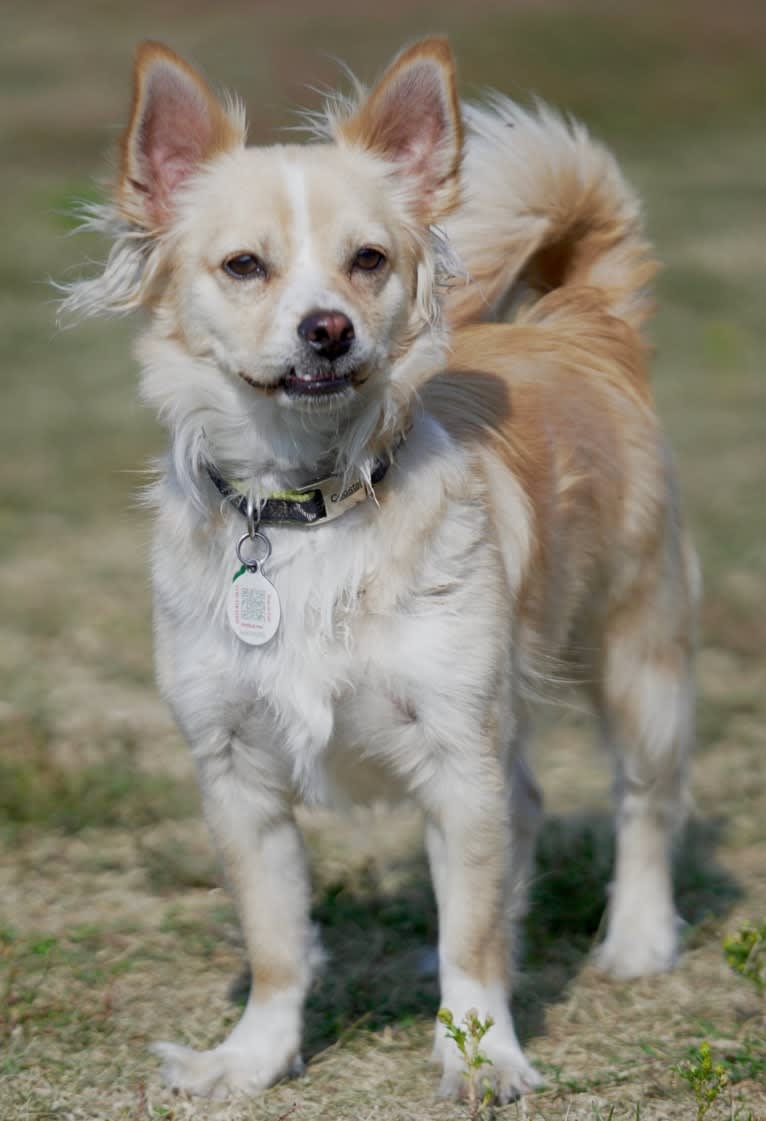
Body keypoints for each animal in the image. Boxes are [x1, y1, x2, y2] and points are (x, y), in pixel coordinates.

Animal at [64, 37, 699, 1103]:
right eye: (244, 266)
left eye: (370, 261)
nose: (328, 328)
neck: (309, 501)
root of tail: (582, 323)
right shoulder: (235, 773)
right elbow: (278, 939)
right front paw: (254, 1056)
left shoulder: (456, 754)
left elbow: (473, 936)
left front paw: (483, 1050)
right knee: (528, 810)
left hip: (634, 651)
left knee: (645, 797)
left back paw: (638, 939)